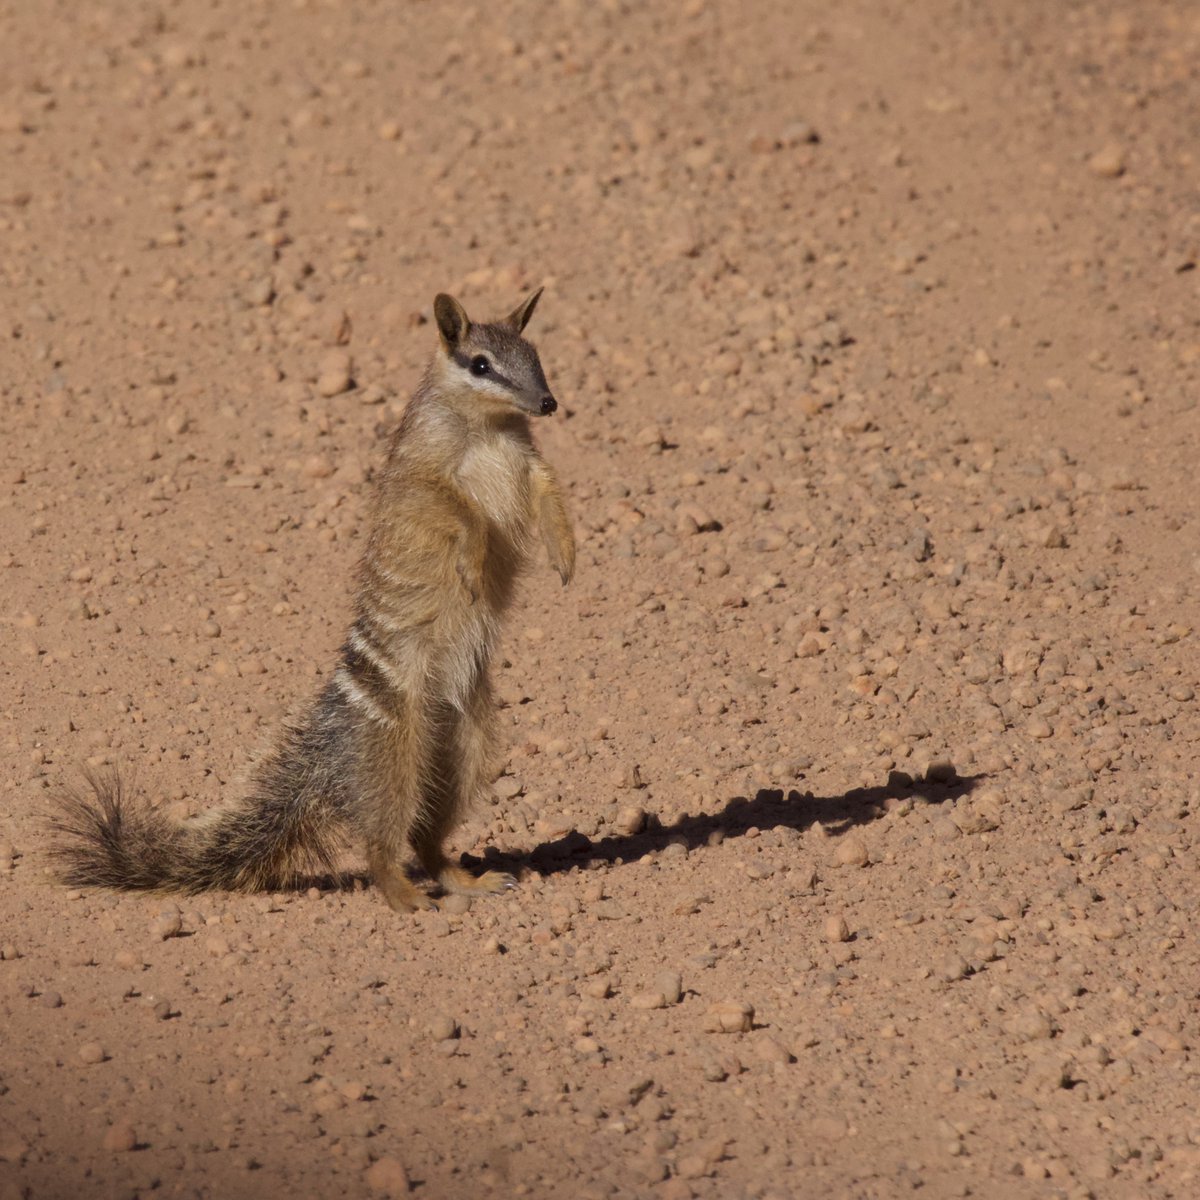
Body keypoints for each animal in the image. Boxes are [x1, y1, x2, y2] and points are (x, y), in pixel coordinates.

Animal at [49, 288, 576, 912]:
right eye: (480, 364)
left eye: (534, 354)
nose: (547, 403)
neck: (490, 428)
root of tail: (333, 752)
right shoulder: (421, 477)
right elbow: (458, 510)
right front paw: (473, 559)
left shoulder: (530, 461)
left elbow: (549, 494)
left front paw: (567, 553)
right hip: (394, 751)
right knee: (381, 841)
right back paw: (406, 897)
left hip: (467, 746)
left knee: (426, 836)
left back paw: (466, 881)